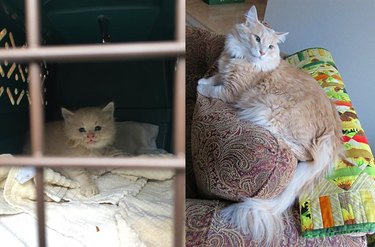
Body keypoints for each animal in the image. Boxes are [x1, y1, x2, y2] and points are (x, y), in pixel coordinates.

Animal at [200, 5, 344, 245]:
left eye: (269, 46)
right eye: (257, 39)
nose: (262, 53)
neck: (239, 58)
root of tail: (332, 133)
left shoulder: (232, 91)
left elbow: (213, 89)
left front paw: (199, 86)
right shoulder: (223, 73)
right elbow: (215, 76)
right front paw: (204, 79)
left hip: (270, 111)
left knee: (304, 153)